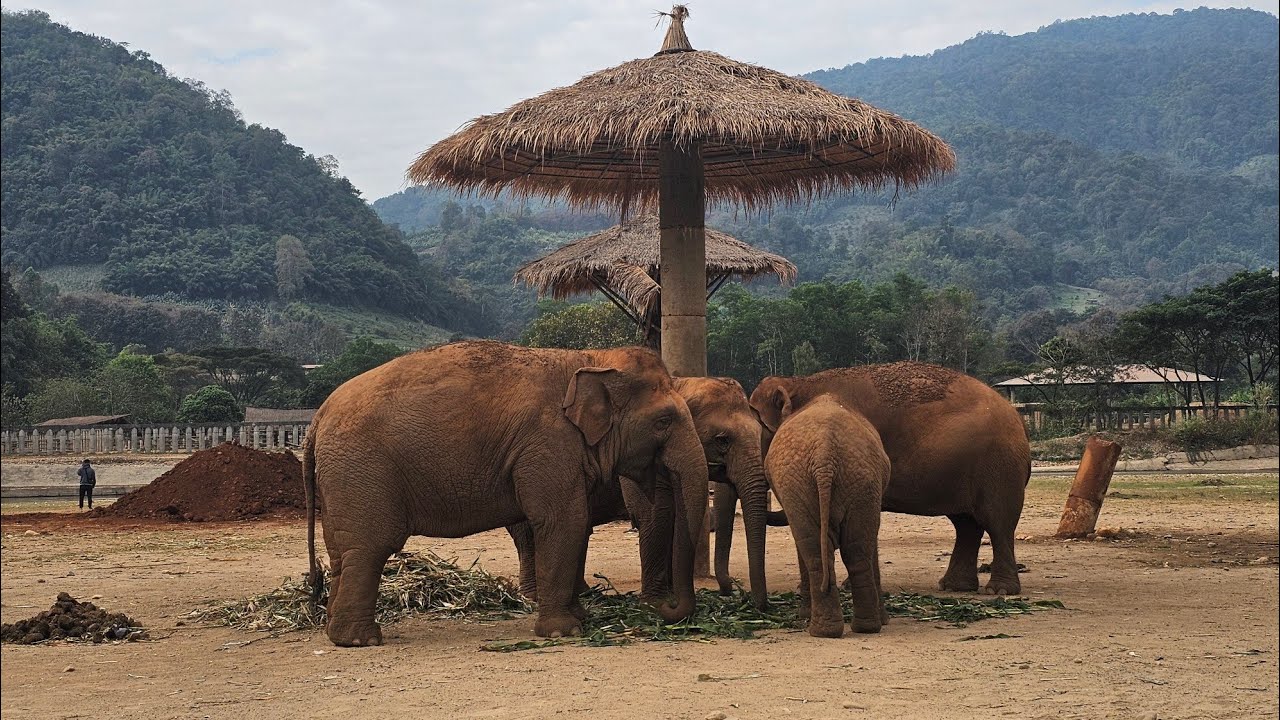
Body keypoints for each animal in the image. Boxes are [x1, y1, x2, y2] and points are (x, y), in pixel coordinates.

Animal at [303, 340, 709, 646]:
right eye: (664, 421)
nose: (665, 608)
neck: (590, 358)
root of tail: (317, 418)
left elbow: (572, 523)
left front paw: (581, 617)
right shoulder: (548, 444)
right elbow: (566, 521)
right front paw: (565, 632)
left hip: (343, 478)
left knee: (341, 552)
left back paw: (337, 633)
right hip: (362, 470)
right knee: (370, 547)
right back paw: (362, 640)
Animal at [506, 376, 775, 610]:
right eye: (722, 440)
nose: (731, 590)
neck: (679, 384)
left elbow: (673, 516)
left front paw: (669, 595)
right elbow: (655, 514)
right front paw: (656, 603)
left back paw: (583, 593)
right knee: (530, 535)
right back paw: (533, 596)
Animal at [750, 361, 1031, 596]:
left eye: (759, 427)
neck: (800, 382)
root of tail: (1019, 421)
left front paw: (845, 587)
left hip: (1000, 468)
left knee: (997, 522)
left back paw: (998, 590)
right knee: (966, 523)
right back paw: (954, 587)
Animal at [764, 394, 890, 637]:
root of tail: (825, 454)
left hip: (836, 480)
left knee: (826, 550)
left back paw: (828, 629)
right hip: (858, 480)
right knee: (854, 550)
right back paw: (856, 628)